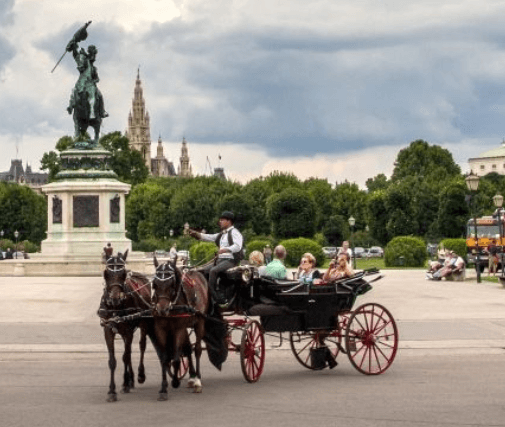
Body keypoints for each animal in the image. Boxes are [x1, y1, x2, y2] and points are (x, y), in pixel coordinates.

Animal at [98, 249, 152, 402]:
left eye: (123, 274)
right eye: (106, 273)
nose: (115, 299)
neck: (116, 308)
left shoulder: (128, 331)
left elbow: (125, 357)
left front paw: (125, 383)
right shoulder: (108, 330)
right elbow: (113, 360)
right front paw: (112, 391)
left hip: (144, 323)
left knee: (141, 346)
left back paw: (139, 375)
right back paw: (131, 379)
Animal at [153, 258, 210, 402]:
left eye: (172, 284)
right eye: (155, 284)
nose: (162, 309)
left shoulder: (178, 328)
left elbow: (176, 359)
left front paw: (175, 381)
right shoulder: (160, 329)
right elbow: (164, 358)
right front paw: (163, 389)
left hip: (199, 322)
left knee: (197, 350)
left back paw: (197, 380)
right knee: (189, 349)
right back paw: (192, 377)